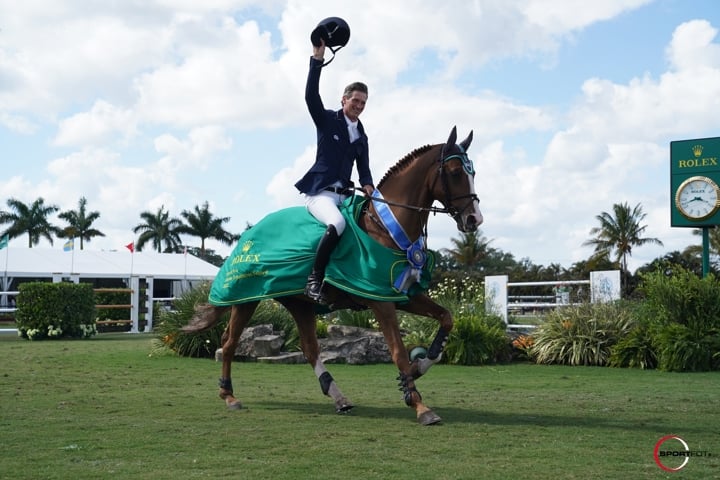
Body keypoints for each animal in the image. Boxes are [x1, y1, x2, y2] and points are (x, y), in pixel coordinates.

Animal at [183, 126, 480, 424]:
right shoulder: (380, 301)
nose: (474, 219)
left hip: (299, 303)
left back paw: (339, 397)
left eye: (473, 172)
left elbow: (447, 318)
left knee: (309, 348)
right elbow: (397, 350)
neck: (386, 227)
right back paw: (229, 396)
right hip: (247, 298)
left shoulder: (404, 295)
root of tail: (248, 233)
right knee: (229, 342)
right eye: (455, 172)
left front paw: (420, 366)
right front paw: (419, 405)